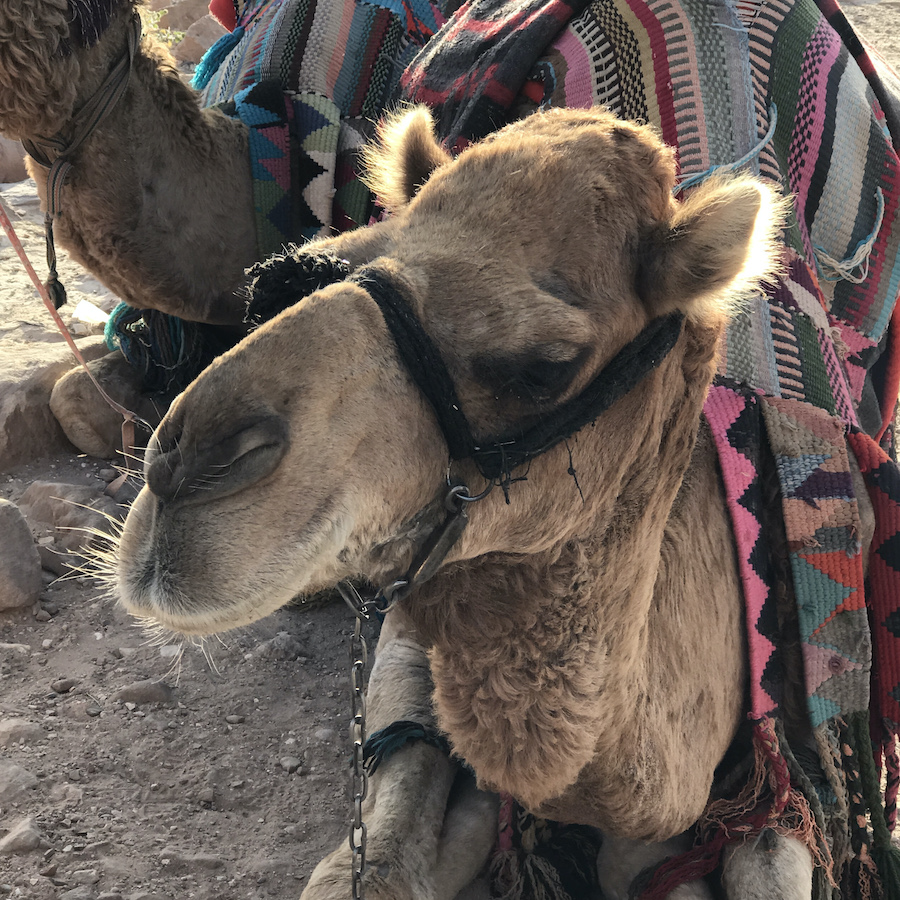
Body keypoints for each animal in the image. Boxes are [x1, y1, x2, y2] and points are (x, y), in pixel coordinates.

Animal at [113, 103, 815, 897]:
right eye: (321, 269)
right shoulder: (412, 634)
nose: (183, 467)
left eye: (546, 368)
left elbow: (766, 854)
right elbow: (379, 856)